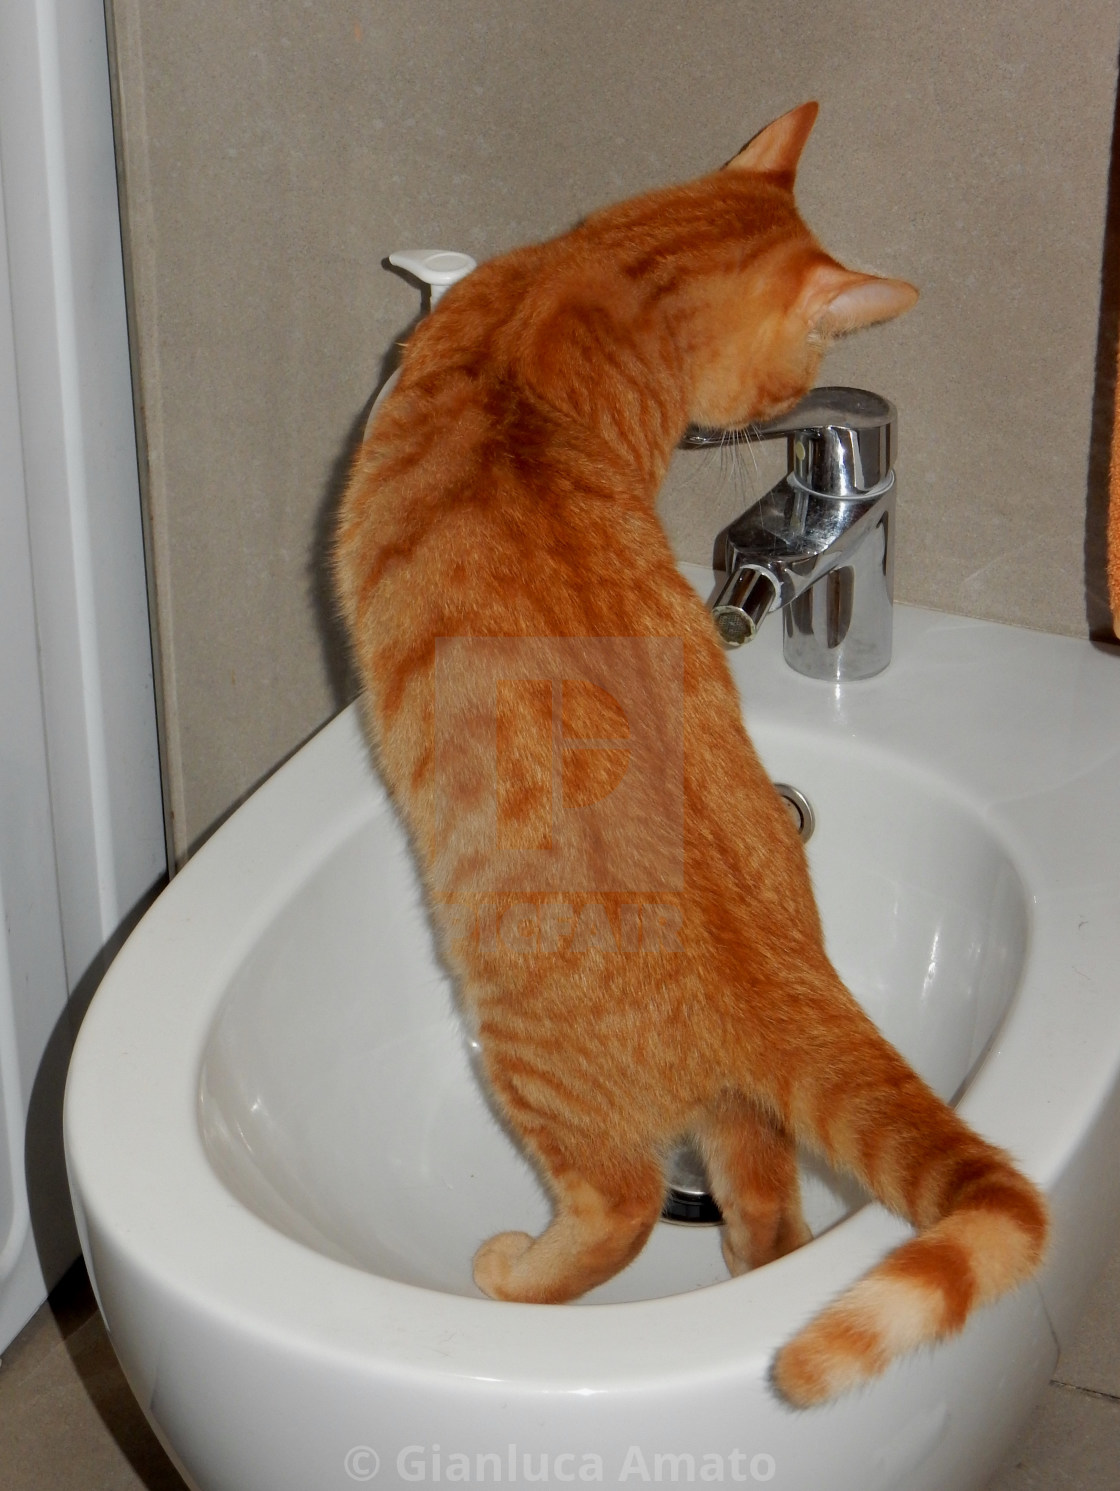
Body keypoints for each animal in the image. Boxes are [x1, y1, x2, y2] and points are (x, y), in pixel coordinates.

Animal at [335, 108, 1049, 1407]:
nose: (782, 403)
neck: (596, 280)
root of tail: (786, 968)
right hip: (736, 1114)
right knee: (765, 1208)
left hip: (531, 1069)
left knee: (619, 1208)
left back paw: (516, 1273)